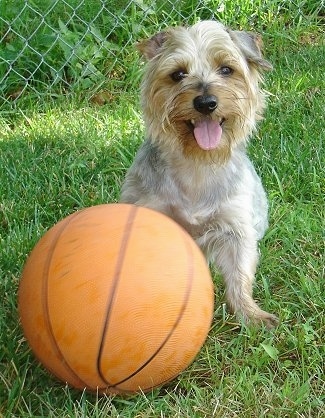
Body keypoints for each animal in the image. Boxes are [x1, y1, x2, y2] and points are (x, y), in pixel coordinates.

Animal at [120, 19, 278, 328]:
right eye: (178, 74)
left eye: (226, 69)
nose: (206, 102)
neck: (198, 164)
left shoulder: (236, 228)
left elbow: (240, 276)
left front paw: (251, 315)